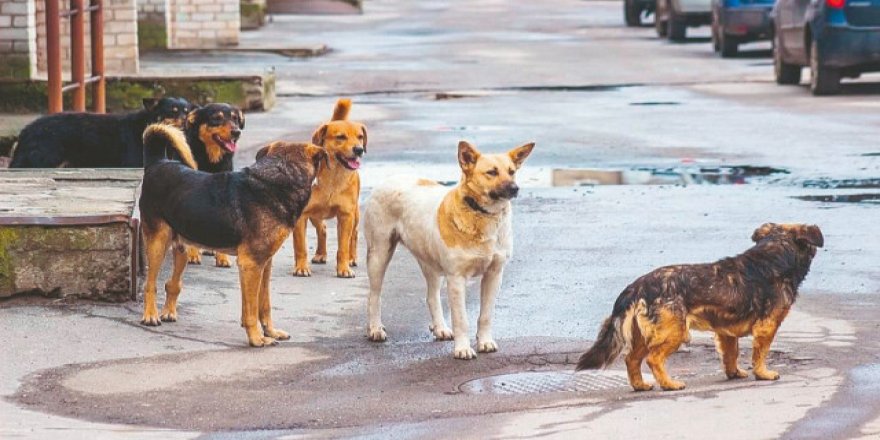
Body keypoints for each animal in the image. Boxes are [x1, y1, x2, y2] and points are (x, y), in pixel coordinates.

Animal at [139, 124, 328, 348]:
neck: (279, 178)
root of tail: (157, 162)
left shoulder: (265, 263)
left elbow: (264, 304)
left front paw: (270, 332)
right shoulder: (251, 264)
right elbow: (251, 310)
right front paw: (256, 338)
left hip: (182, 246)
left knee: (172, 283)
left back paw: (168, 312)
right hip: (158, 243)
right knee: (150, 284)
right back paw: (150, 315)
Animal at [294, 99, 366, 278]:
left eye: (360, 137)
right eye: (340, 137)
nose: (359, 149)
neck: (333, 177)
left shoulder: (346, 215)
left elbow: (343, 247)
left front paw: (344, 268)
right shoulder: (301, 216)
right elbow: (300, 246)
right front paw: (301, 267)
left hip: (354, 214)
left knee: (354, 235)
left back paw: (352, 258)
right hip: (315, 215)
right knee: (323, 229)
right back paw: (320, 254)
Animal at [360, 140, 532, 358]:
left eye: (512, 172)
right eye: (492, 172)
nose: (515, 188)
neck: (481, 214)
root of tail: (390, 178)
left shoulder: (494, 274)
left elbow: (485, 315)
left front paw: (484, 342)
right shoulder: (456, 278)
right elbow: (461, 320)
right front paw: (463, 349)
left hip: (430, 263)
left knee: (431, 296)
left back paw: (440, 328)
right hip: (379, 255)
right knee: (374, 295)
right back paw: (375, 328)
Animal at [576, 225, 824, 390]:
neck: (775, 254)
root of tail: (637, 286)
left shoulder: (726, 332)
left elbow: (731, 355)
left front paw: (734, 373)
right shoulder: (767, 326)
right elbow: (760, 354)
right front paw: (763, 373)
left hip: (643, 335)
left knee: (631, 360)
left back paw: (641, 386)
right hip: (674, 333)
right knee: (653, 359)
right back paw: (669, 384)